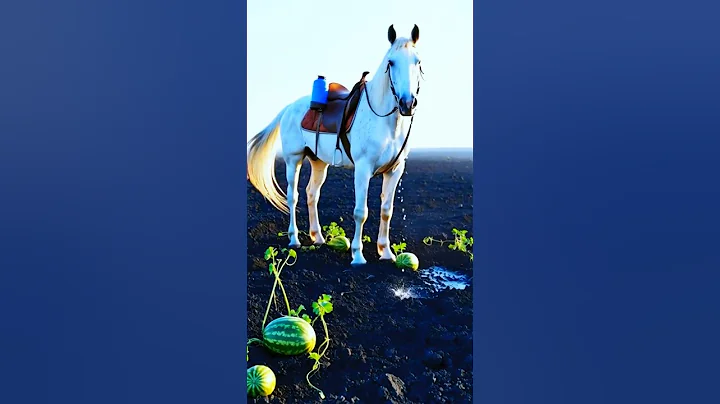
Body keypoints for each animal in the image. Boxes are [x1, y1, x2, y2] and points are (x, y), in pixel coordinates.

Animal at [247, 24, 422, 266]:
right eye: (391, 62)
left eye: (418, 61)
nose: (407, 103)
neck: (386, 122)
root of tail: (290, 107)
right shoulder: (363, 169)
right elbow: (361, 212)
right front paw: (357, 255)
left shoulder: (395, 170)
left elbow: (387, 210)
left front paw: (386, 253)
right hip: (294, 159)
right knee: (293, 196)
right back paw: (294, 239)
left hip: (319, 162)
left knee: (312, 194)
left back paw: (318, 237)